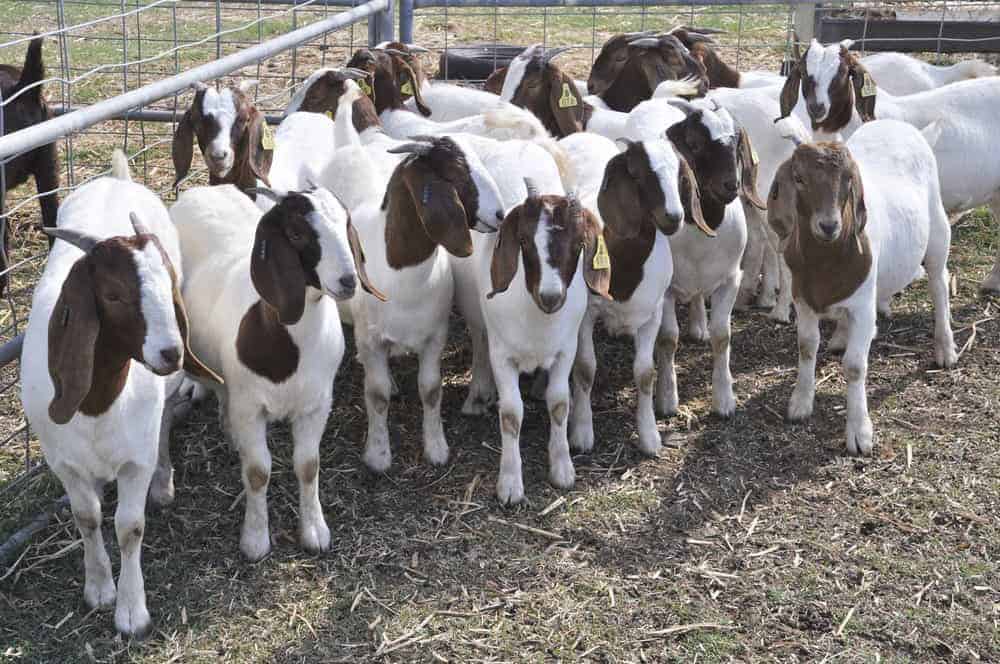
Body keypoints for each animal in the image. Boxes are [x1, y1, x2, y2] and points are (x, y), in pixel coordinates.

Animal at [19, 152, 219, 640]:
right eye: (112, 294)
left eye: (169, 282)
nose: (171, 352)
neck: (98, 407)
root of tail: (118, 177)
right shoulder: (63, 462)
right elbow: (87, 517)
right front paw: (98, 588)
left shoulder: (134, 460)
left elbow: (129, 527)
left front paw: (131, 611)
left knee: (163, 423)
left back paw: (164, 483)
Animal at [768, 120, 956, 456]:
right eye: (799, 178)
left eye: (848, 179)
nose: (829, 226)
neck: (825, 264)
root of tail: (907, 127)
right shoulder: (803, 299)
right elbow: (806, 347)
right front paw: (800, 402)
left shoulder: (861, 305)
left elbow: (855, 366)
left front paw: (859, 432)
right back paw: (843, 335)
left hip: (937, 231)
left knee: (939, 284)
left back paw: (945, 347)